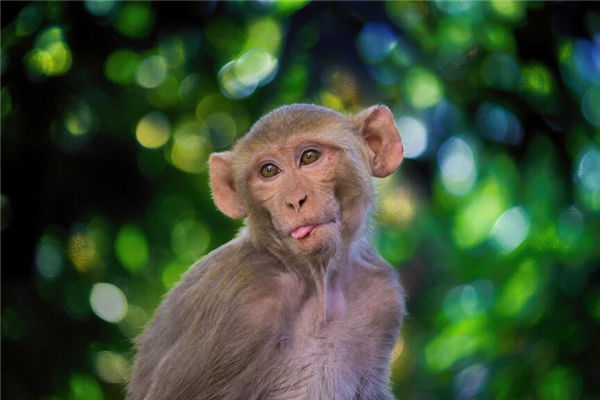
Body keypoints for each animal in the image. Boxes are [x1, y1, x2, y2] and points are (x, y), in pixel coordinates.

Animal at [126, 104, 408, 400]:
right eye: (269, 171)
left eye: (309, 157)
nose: (294, 201)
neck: (316, 282)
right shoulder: (238, 302)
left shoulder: (382, 294)